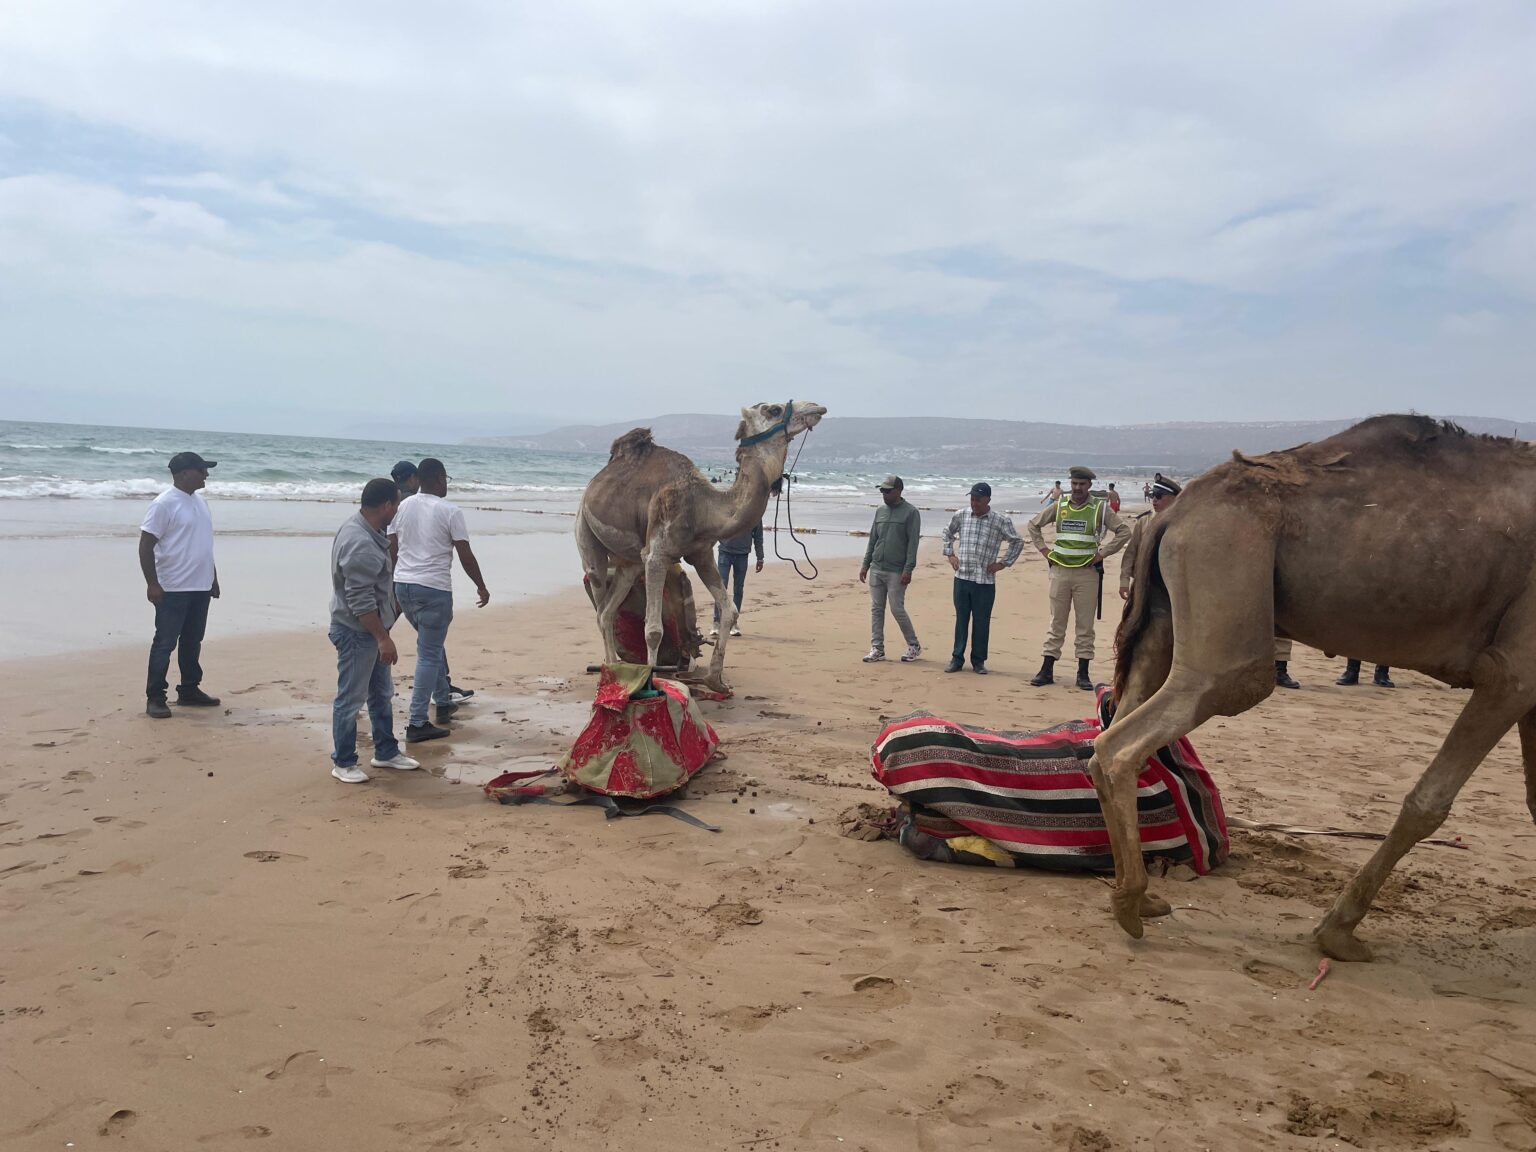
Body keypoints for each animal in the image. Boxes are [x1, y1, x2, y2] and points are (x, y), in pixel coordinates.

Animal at [575, 400, 827, 693]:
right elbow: (653, 629)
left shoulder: (702, 554)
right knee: (598, 596)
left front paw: (715, 680)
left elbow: (730, 610)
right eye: (772, 409)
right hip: (587, 533)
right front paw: (655, 681)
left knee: (607, 610)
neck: (704, 508)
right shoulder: (656, 555)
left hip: (629, 564)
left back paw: (615, 668)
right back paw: (609, 672)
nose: (816, 407)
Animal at [1091, 414, 1536, 962]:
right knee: (1154, 726)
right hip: (1227, 557)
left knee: (1117, 722)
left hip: (1166, 611)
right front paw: (1338, 933)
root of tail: (1174, 512)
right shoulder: (1515, 671)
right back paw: (1131, 903)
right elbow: (1428, 803)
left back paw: (1140, 897)